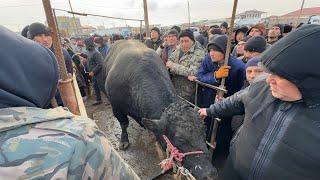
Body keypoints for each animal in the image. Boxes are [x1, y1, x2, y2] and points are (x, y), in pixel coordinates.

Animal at [102, 40, 218, 179]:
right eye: (180, 139)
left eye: (204, 132)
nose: (210, 174)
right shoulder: (117, 107)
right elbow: (124, 124)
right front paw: (124, 140)